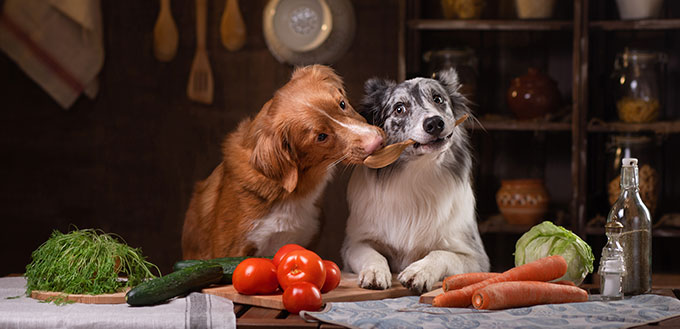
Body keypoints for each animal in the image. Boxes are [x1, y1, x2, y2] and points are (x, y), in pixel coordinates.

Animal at [340, 68, 488, 292]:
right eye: (399, 109)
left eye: (438, 99)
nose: (434, 123)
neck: (418, 172)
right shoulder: (354, 244)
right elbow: (373, 254)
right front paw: (375, 272)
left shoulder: (476, 257)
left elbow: (441, 253)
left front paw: (419, 271)